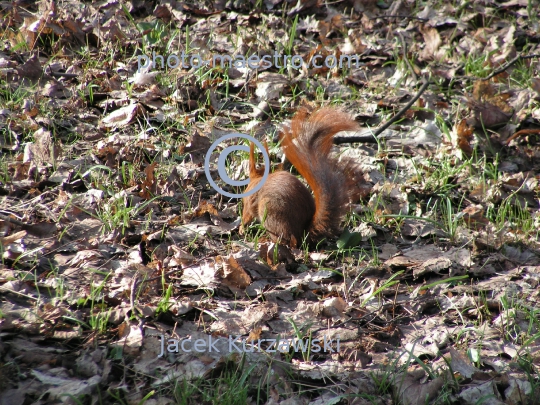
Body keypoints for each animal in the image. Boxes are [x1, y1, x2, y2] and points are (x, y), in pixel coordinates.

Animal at [240, 106, 358, 246]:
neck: (257, 180)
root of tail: (303, 233)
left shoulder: (249, 202)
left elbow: (246, 215)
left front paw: (241, 228)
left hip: (269, 212)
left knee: (288, 241)